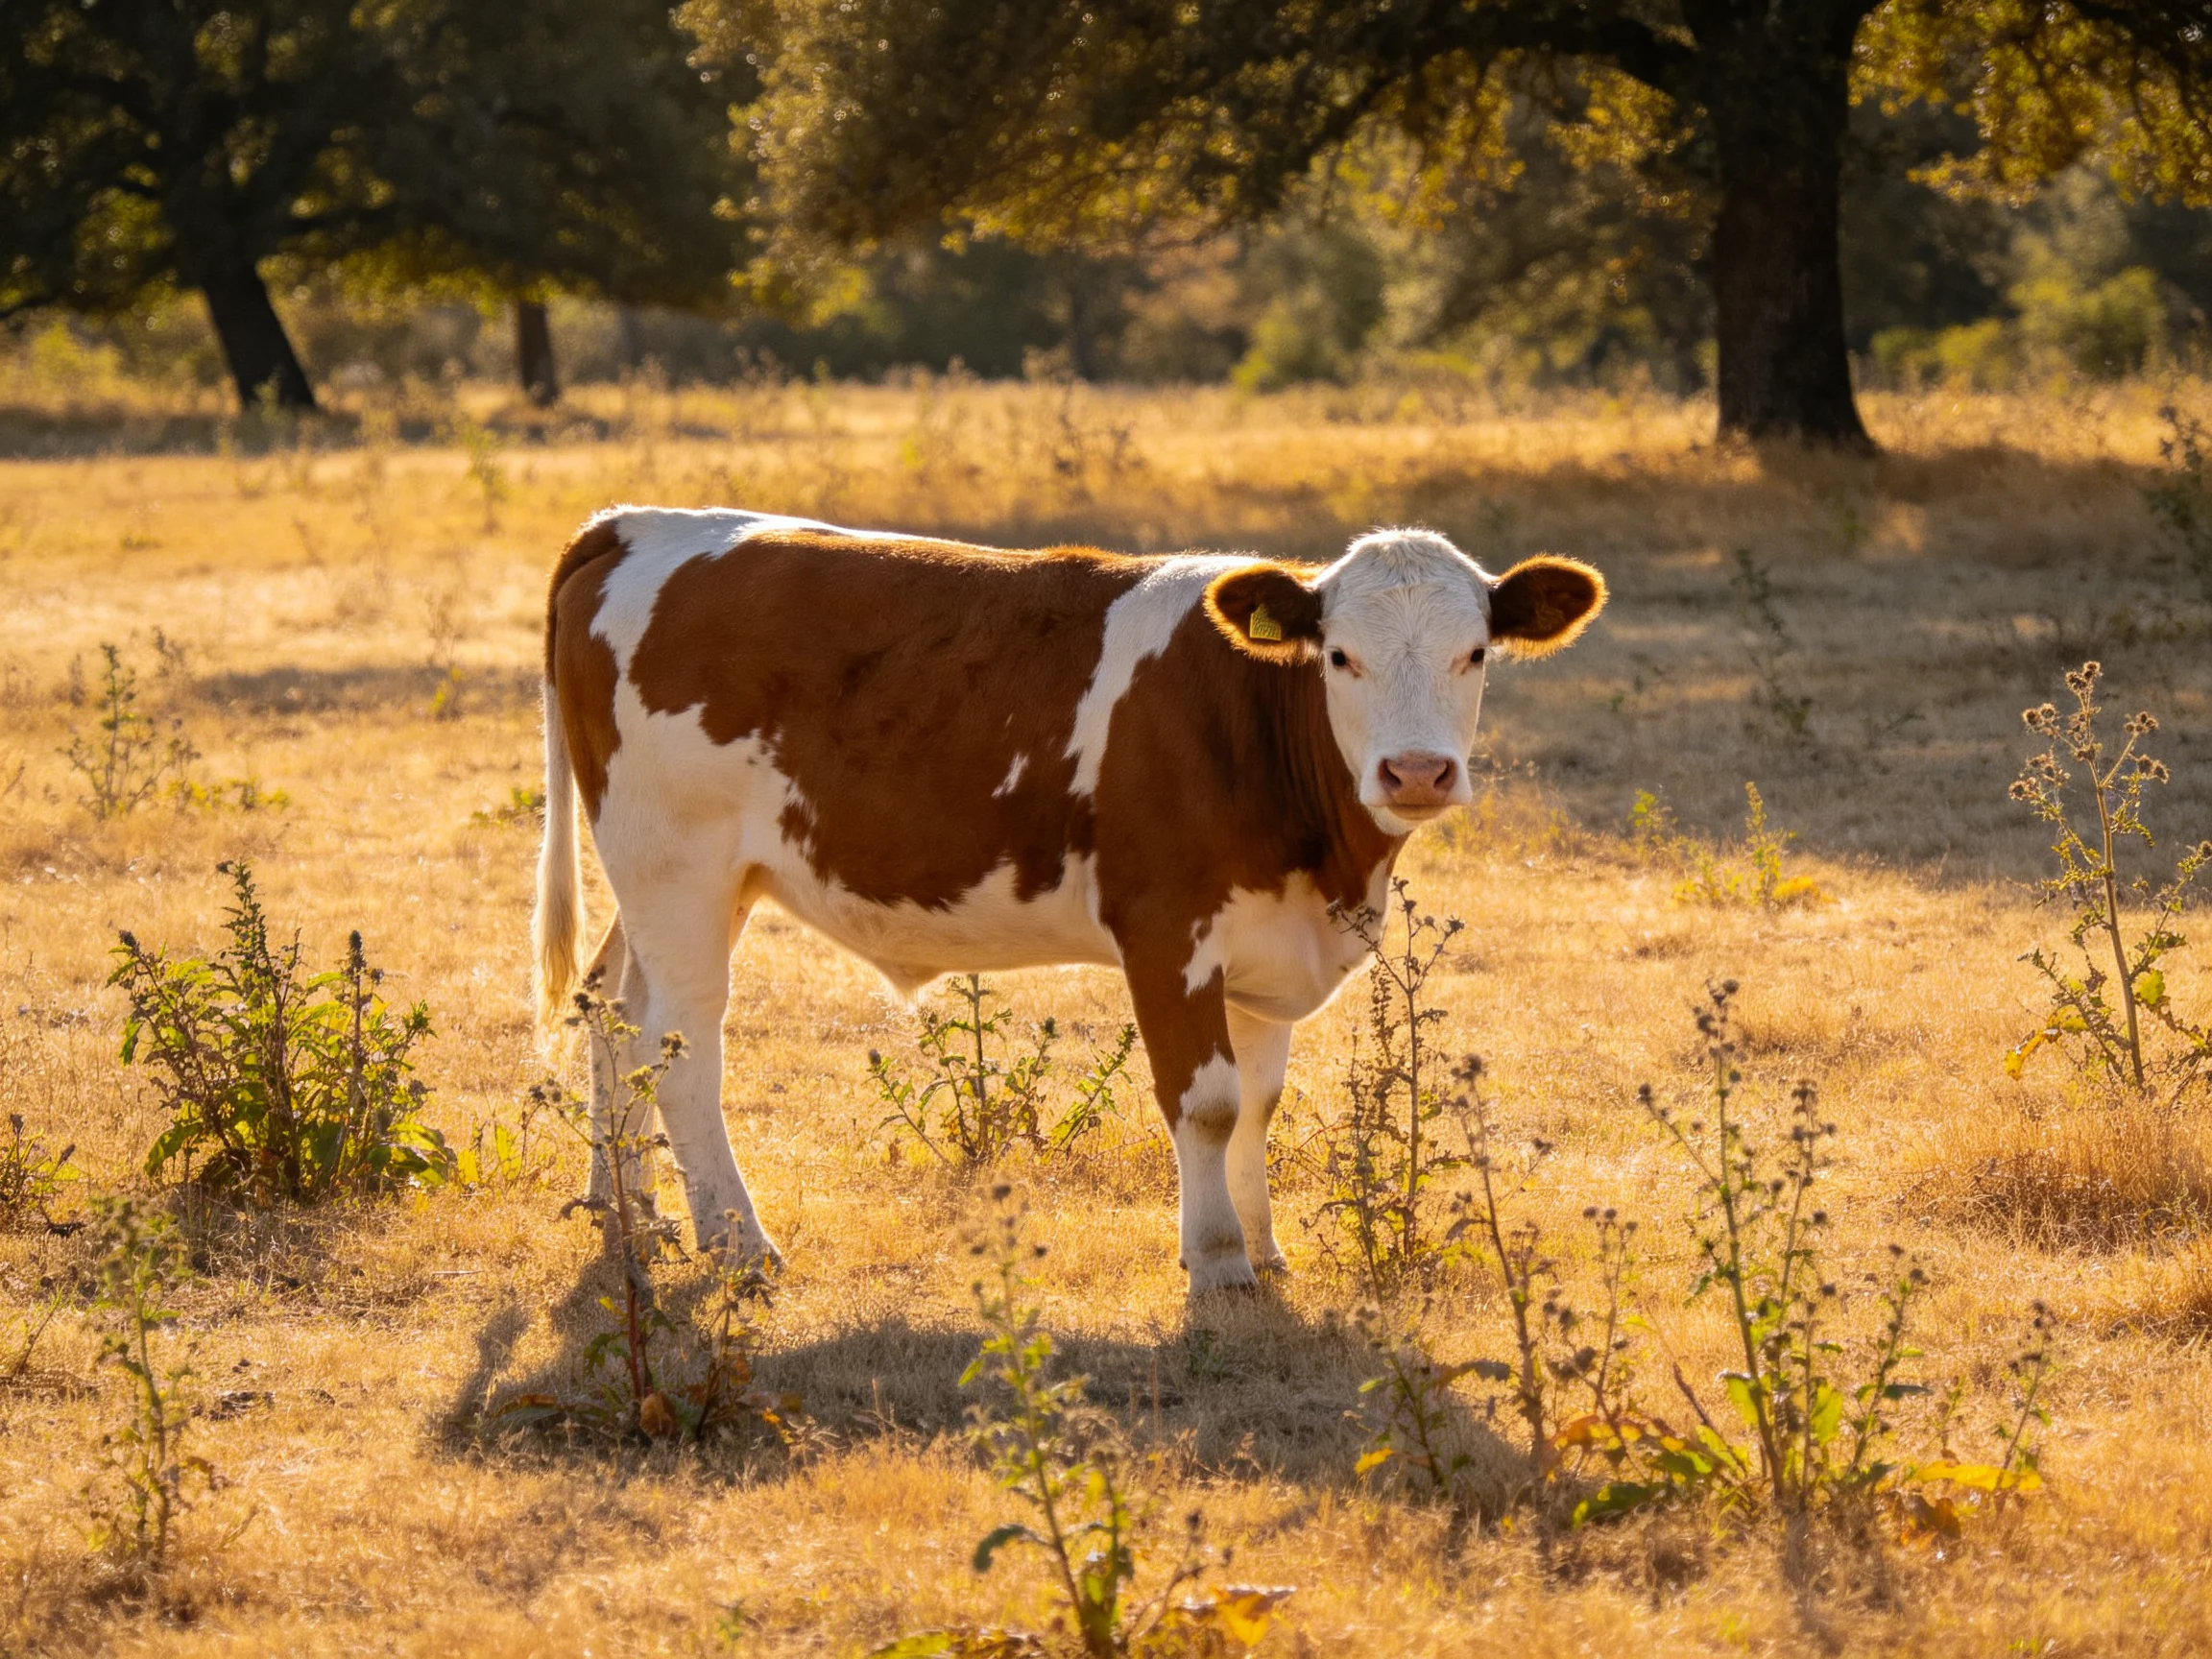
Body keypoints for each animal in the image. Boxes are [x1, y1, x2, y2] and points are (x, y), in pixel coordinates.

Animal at [534, 509, 1605, 1291]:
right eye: (1339, 656)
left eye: (1477, 653)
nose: (1417, 772)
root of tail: (639, 523)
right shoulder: (1167, 931)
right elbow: (1207, 1105)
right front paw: (1218, 1265)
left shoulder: (1268, 944)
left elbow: (1259, 1105)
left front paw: (1264, 1251)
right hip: (678, 865)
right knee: (679, 1046)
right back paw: (735, 1240)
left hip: (670, 881)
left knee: (611, 1013)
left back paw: (632, 1212)